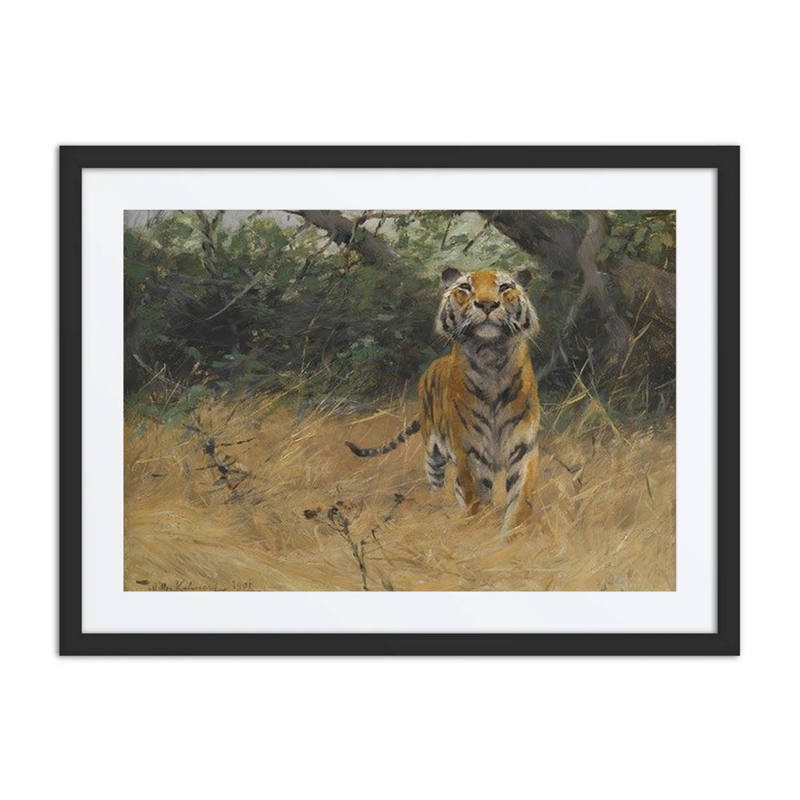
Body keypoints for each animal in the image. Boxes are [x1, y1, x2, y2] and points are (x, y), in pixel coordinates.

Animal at [346, 267, 541, 534]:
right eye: (466, 287)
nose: (487, 304)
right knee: (439, 483)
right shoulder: (469, 449)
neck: (491, 357)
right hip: (433, 454)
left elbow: (519, 499)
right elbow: (478, 495)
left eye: (504, 287)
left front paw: (512, 535)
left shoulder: (523, 447)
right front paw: (481, 530)